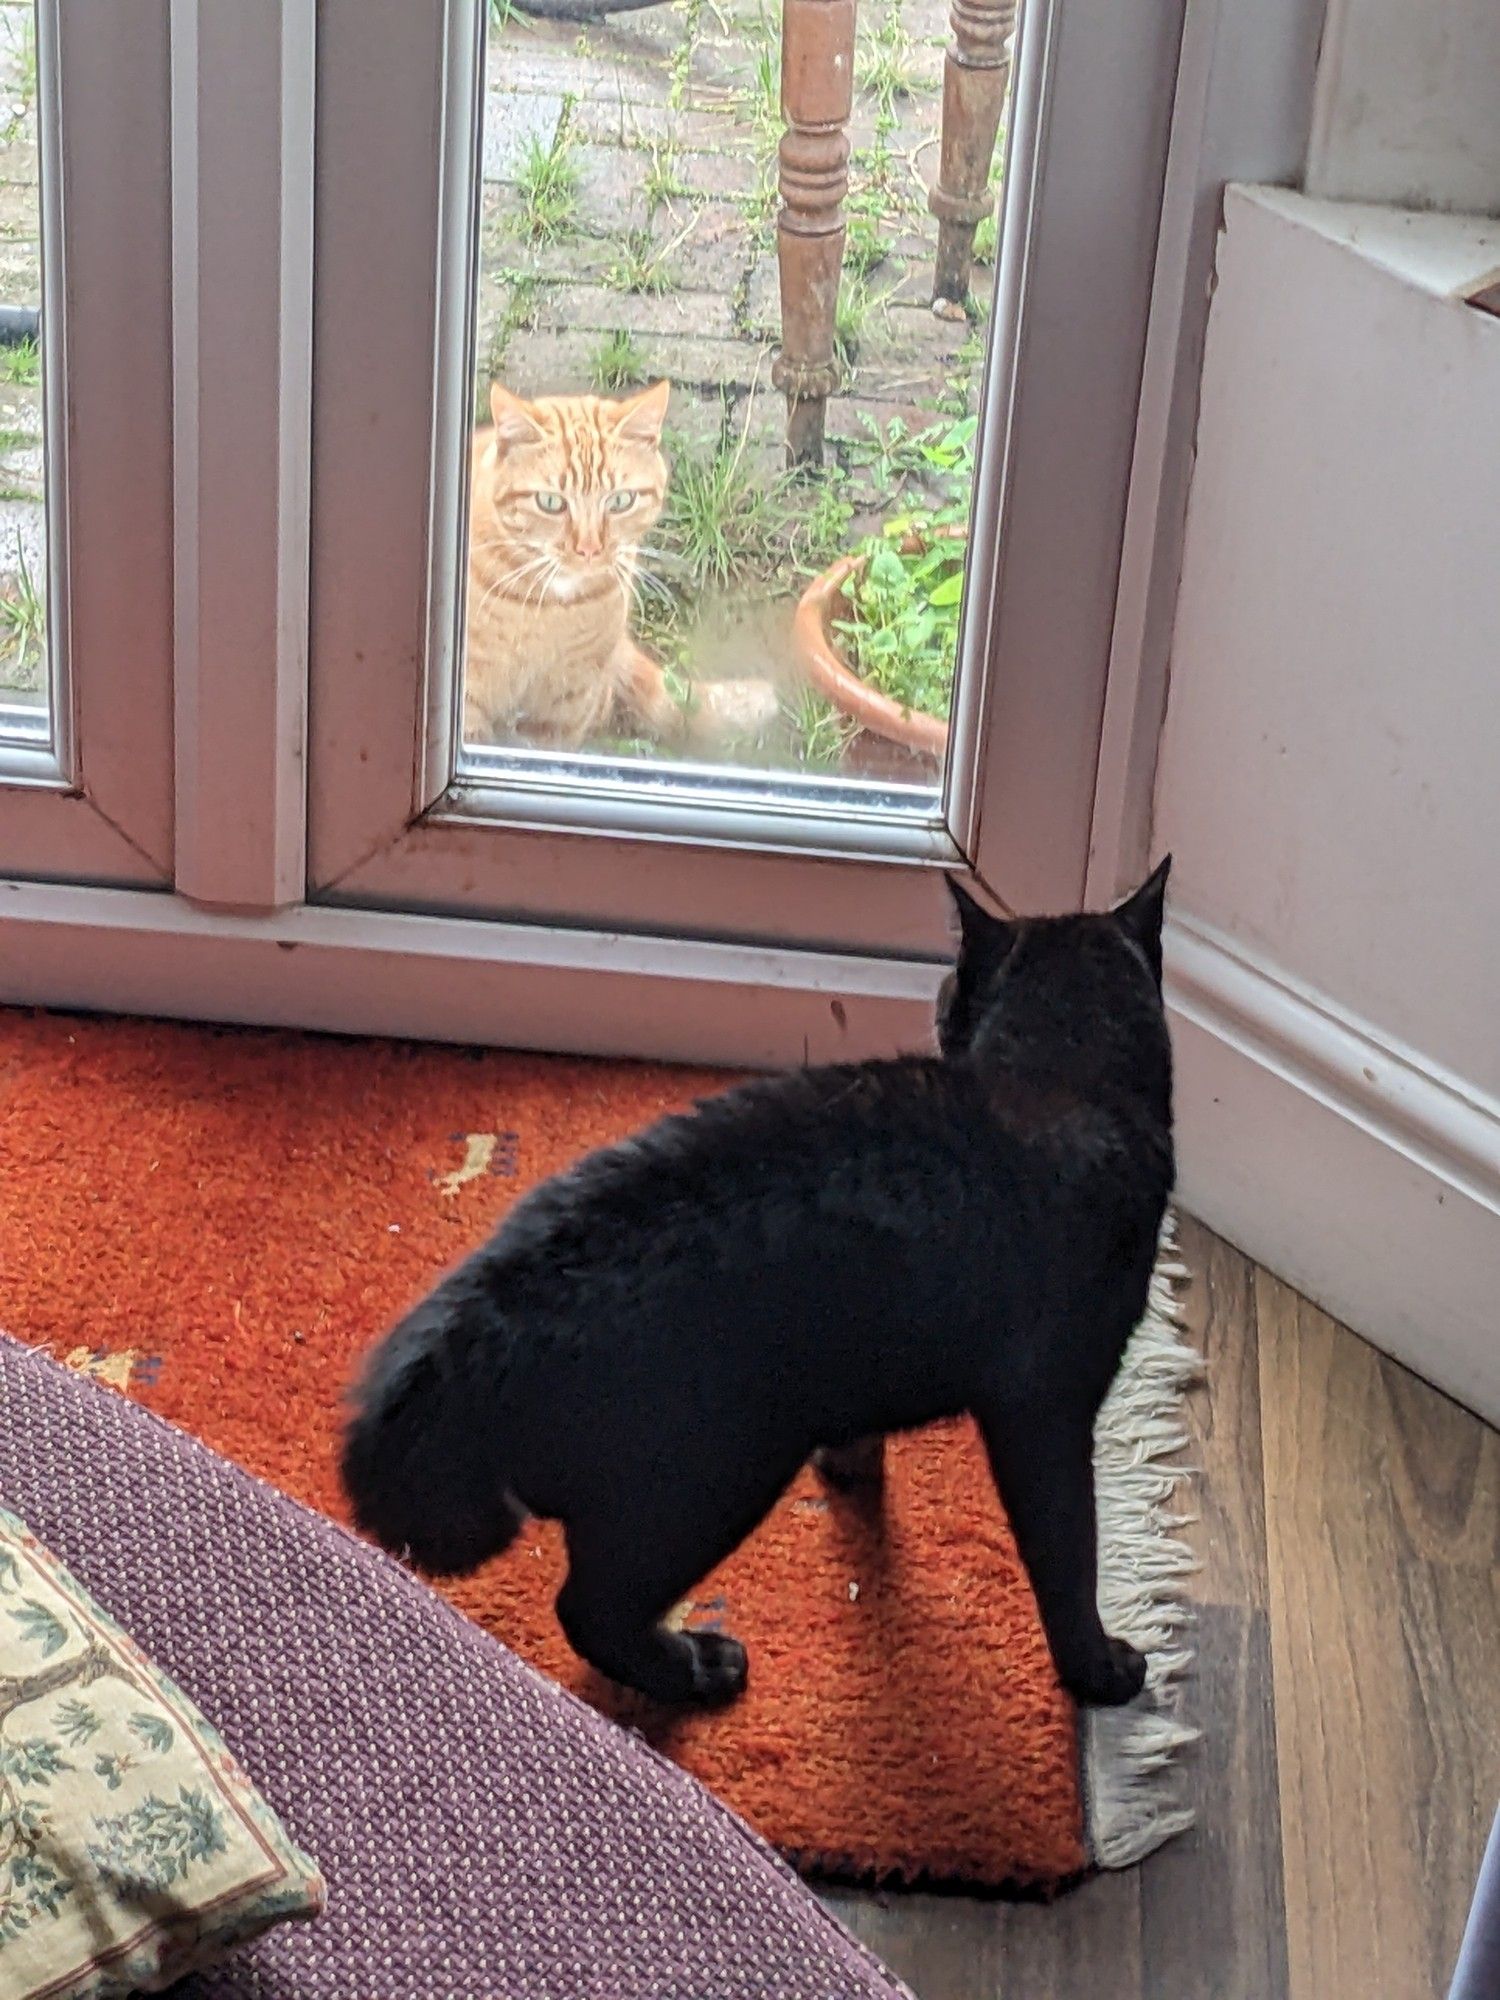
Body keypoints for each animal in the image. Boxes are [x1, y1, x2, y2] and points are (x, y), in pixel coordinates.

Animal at [340, 860, 1176, 1704]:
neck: (1061, 1076)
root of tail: (482, 1326)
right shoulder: (1046, 1409)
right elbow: (1070, 1554)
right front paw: (1099, 1668)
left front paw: (851, 1468)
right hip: (708, 1479)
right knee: (589, 1608)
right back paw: (695, 1667)